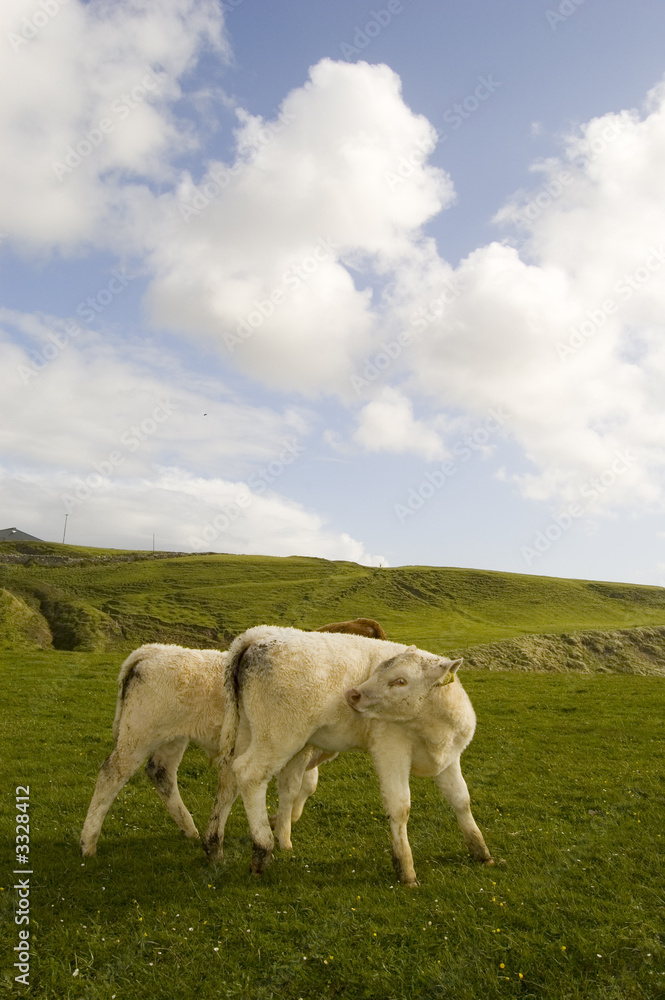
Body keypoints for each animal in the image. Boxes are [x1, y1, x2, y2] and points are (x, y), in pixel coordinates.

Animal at [203, 627, 493, 885]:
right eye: (379, 671)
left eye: (400, 680)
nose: (353, 693)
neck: (433, 725)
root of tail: (257, 636)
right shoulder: (391, 750)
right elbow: (400, 807)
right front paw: (406, 870)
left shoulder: (450, 757)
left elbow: (461, 800)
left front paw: (481, 851)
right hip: (278, 736)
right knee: (249, 774)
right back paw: (262, 850)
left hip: (245, 732)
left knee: (230, 779)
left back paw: (215, 846)